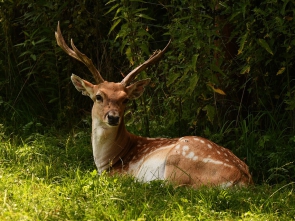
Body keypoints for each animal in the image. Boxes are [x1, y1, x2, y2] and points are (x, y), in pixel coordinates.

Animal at [56, 22, 254, 188]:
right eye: (98, 96)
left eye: (125, 99)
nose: (113, 117)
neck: (108, 160)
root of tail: (242, 178)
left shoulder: (119, 174)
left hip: (178, 163)